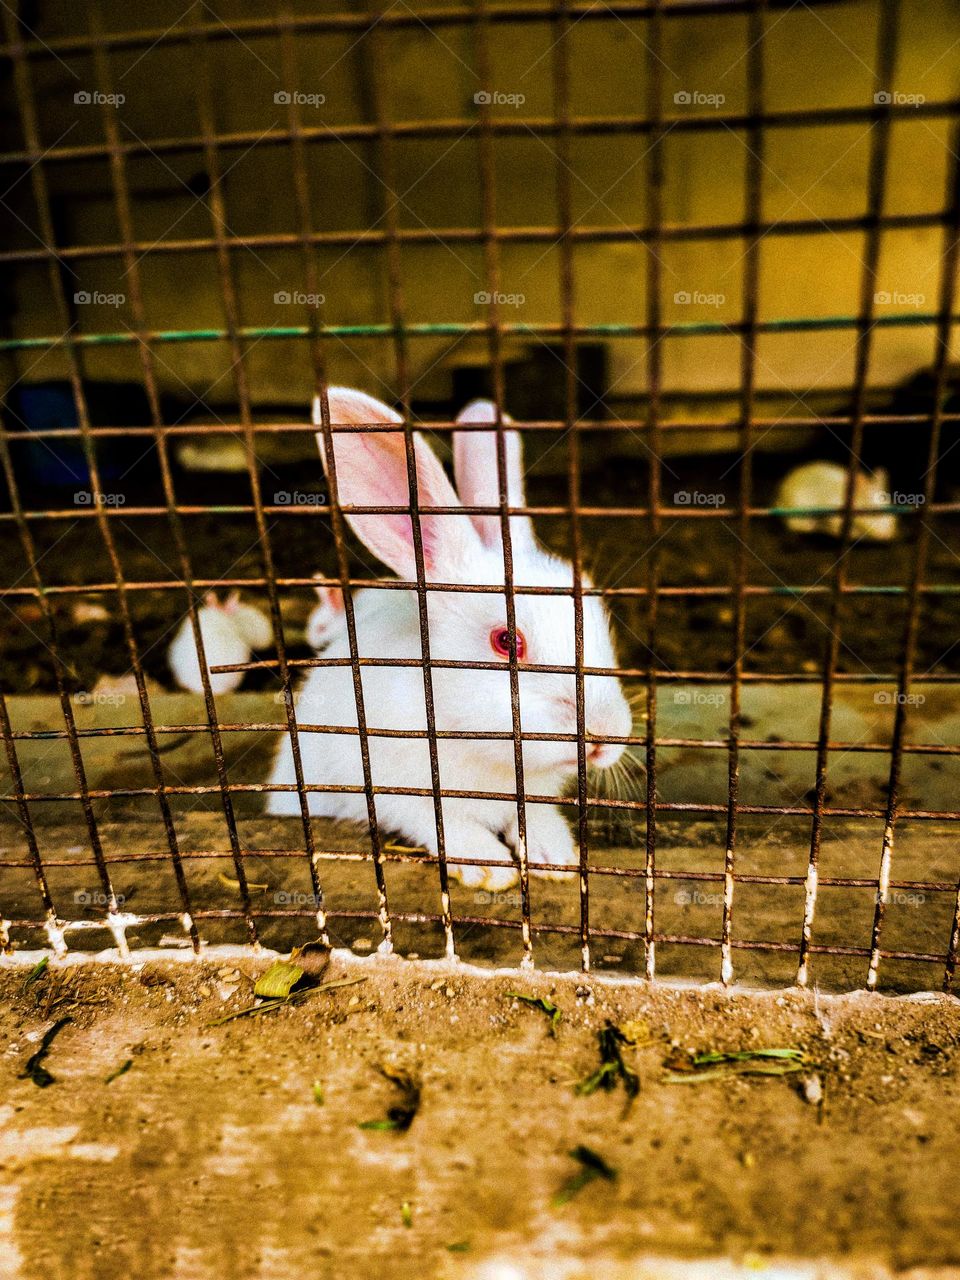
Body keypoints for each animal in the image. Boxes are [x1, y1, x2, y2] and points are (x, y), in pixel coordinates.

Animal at [267, 388, 633, 892]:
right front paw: (487, 867)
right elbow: (436, 821)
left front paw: (554, 857)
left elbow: (534, 818)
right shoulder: (387, 786)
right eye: (506, 640)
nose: (606, 735)